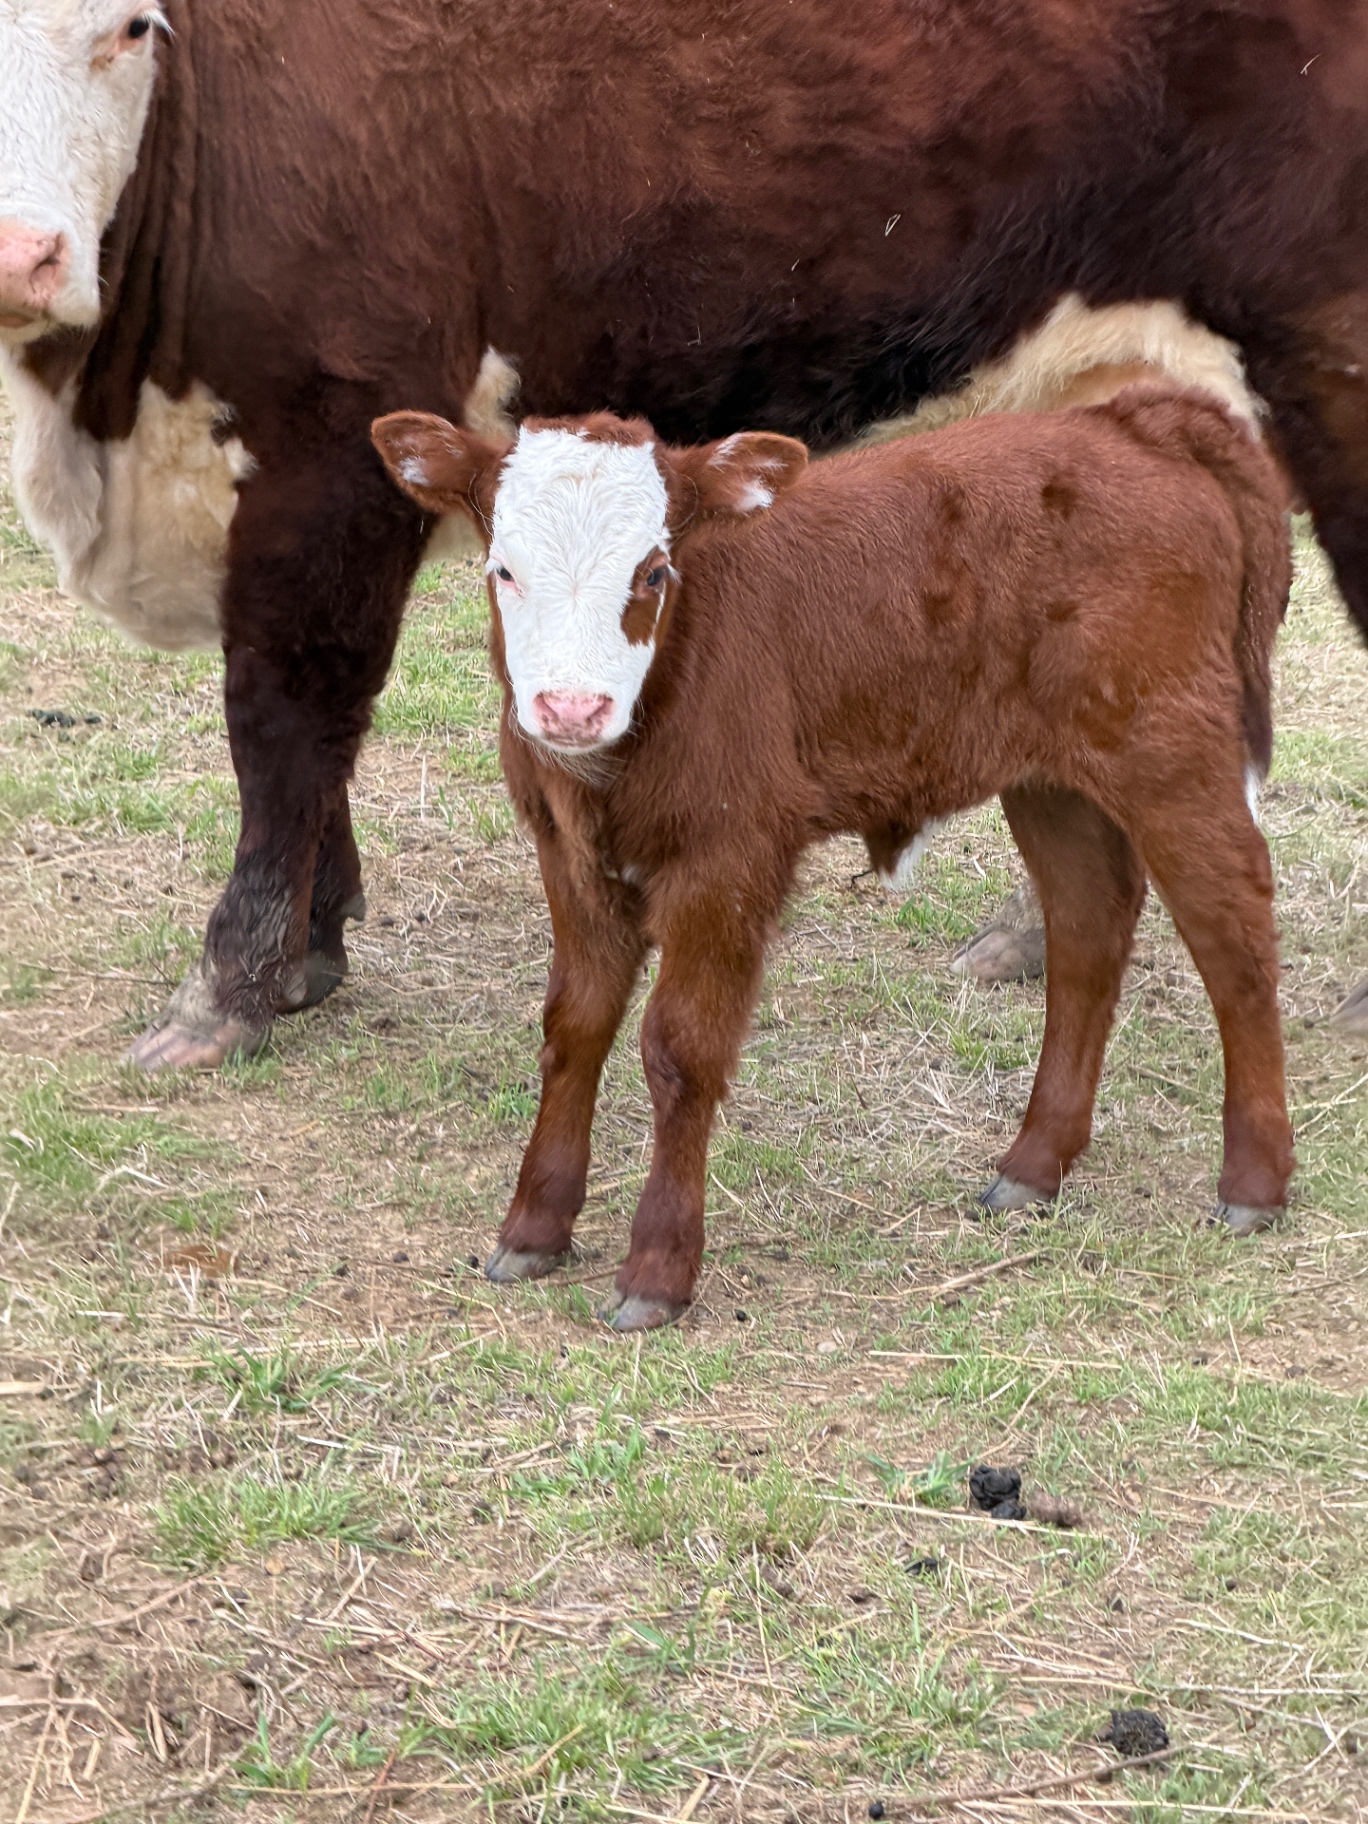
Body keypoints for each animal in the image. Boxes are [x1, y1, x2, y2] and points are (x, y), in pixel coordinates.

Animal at [1, 0, 1367, 1077]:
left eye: (129, 26)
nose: (25, 256)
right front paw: (311, 955)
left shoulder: (329, 451)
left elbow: (285, 722)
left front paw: (231, 988)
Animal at [370, 387, 1295, 1331]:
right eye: (503, 570)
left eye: (654, 573)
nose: (569, 707)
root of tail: (1133, 422)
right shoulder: (570, 858)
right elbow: (574, 1027)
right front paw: (534, 1226)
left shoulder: (727, 860)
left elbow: (680, 1050)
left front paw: (658, 1268)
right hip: (1050, 779)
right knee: (1088, 929)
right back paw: (1035, 1165)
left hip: (1172, 751)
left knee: (1233, 933)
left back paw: (1255, 1182)